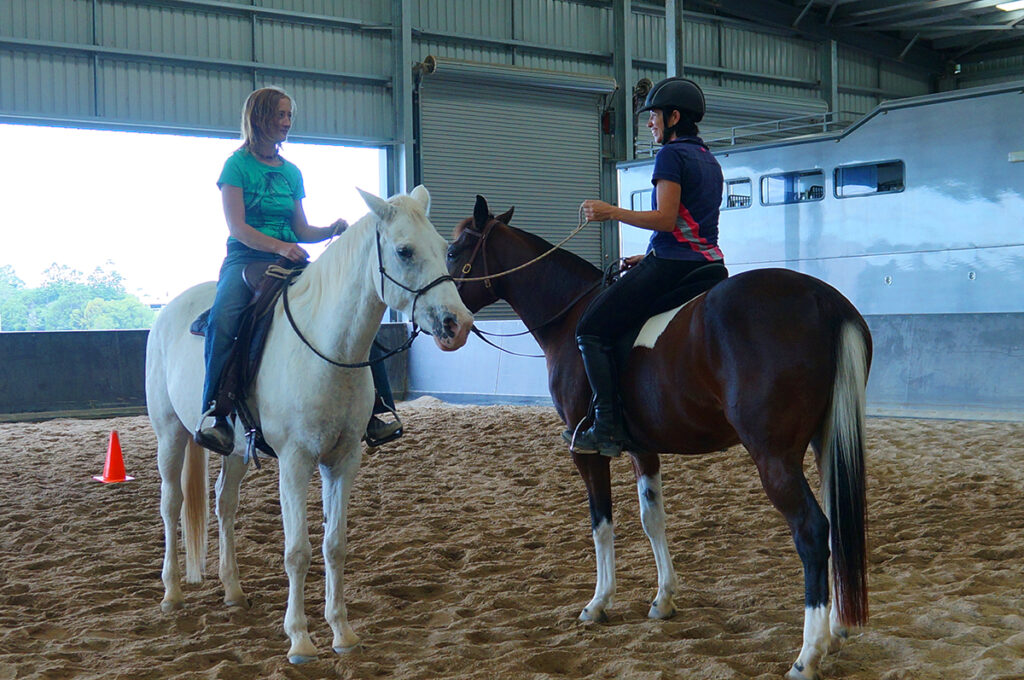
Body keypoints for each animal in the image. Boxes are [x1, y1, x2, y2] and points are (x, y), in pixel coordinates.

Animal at [146, 186, 473, 663]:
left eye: (445, 249)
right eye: (404, 251)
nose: (458, 324)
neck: (326, 348)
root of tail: (168, 310)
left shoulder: (343, 460)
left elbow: (334, 545)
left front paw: (342, 633)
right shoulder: (295, 462)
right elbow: (297, 552)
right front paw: (300, 639)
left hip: (236, 449)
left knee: (225, 504)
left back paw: (233, 590)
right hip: (170, 434)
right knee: (171, 504)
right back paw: (171, 594)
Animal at [448, 196, 872, 680]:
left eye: (454, 252)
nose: (447, 325)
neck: (569, 315)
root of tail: (823, 299)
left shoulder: (587, 453)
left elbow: (601, 524)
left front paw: (598, 603)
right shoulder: (642, 448)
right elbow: (653, 519)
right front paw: (663, 599)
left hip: (774, 458)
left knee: (812, 531)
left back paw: (808, 654)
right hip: (826, 443)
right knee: (838, 525)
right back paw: (836, 631)